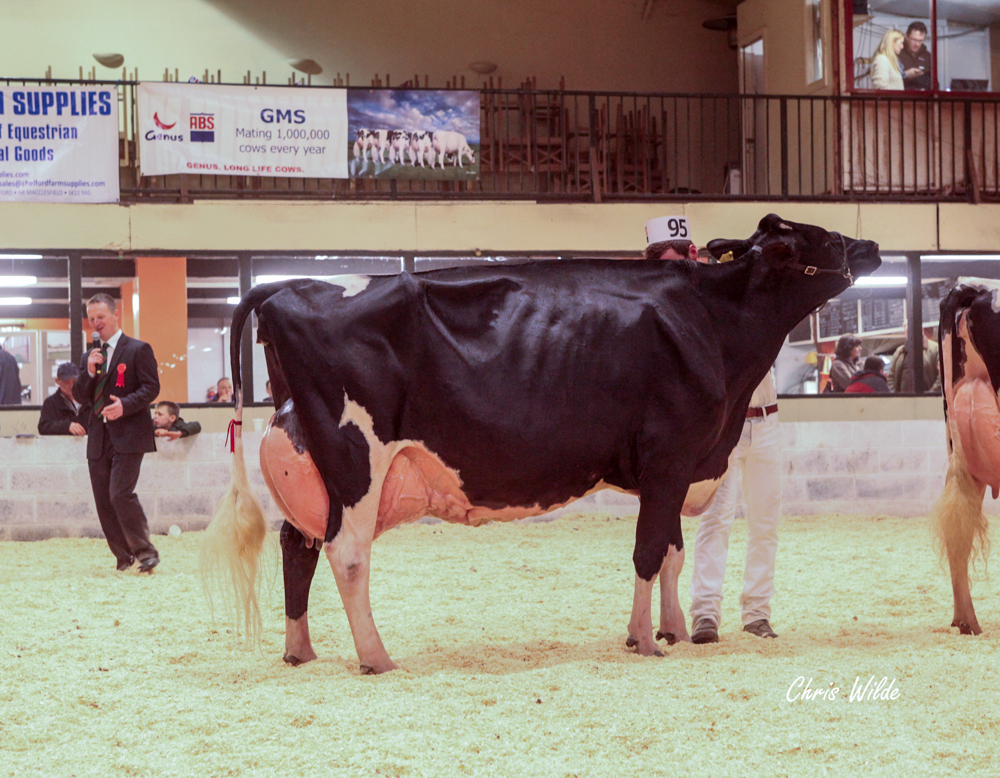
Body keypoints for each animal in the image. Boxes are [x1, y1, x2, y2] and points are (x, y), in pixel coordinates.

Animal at [201, 214, 876, 672]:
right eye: (821, 239)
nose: (869, 246)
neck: (711, 319)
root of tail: (292, 287)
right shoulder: (670, 456)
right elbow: (648, 553)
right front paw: (643, 640)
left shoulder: (677, 467)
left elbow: (672, 554)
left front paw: (676, 631)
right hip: (355, 459)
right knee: (347, 554)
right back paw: (377, 657)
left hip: (309, 461)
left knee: (299, 547)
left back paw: (301, 650)